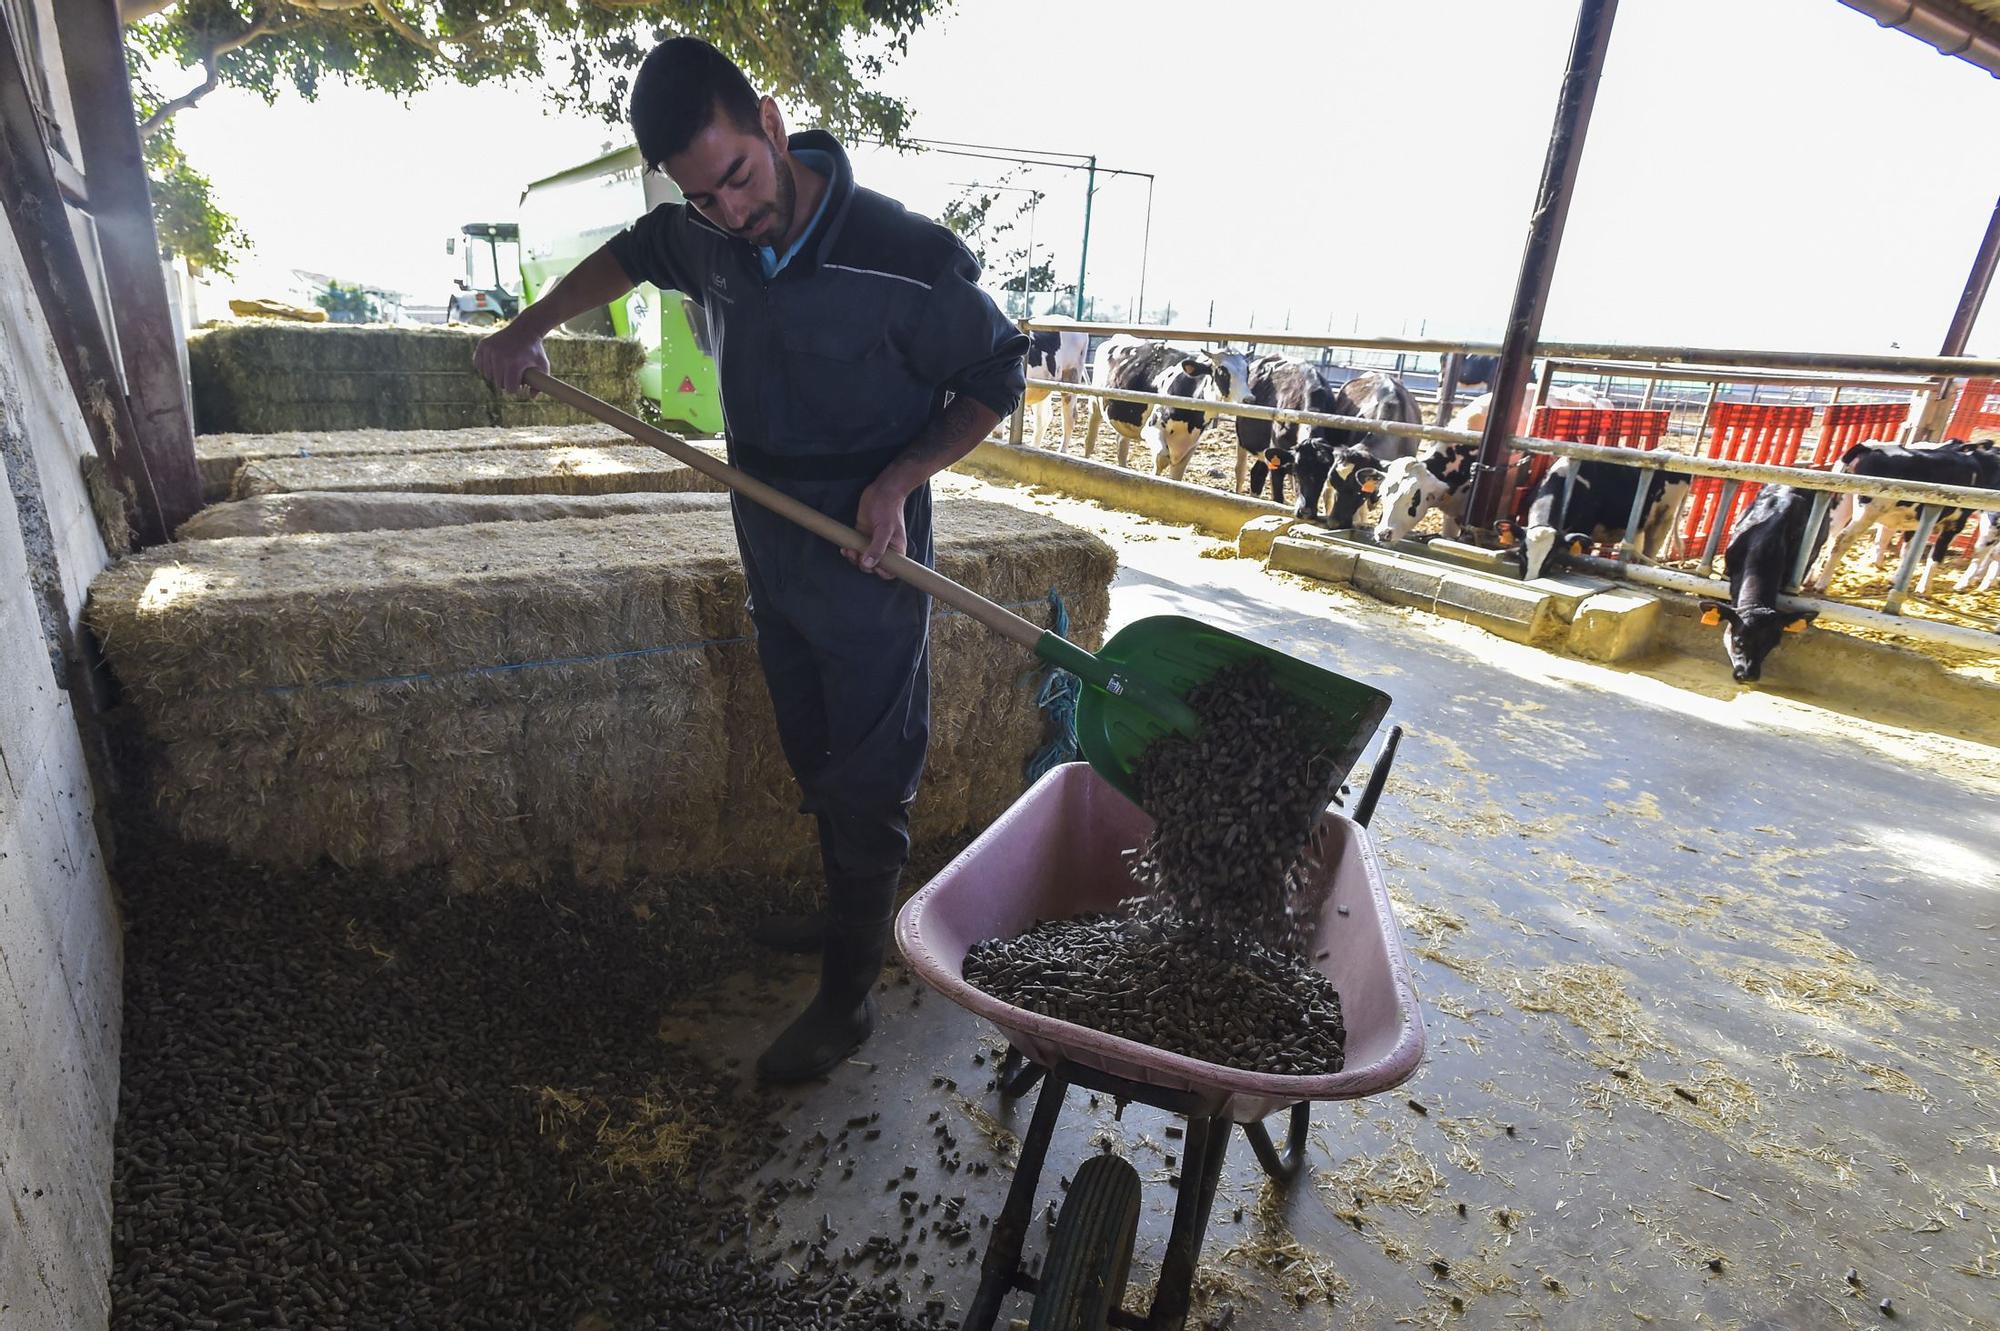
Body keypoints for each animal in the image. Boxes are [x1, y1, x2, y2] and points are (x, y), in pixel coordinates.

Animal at [1520, 459, 1696, 579]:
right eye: (1521, 554)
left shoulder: (1584, 527)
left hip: (1664, 518)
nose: (1530, 579)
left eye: (1550, 558)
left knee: (1651, 551)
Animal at [1808, 439, 1992, 591]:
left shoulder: (1915, 522)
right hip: (1868, 510)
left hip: (1841, 503)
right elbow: (1936, 556)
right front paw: (1924, 589)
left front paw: (1896, 581)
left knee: (1829, 534)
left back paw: (1811, 577)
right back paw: (1822, 583)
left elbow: (1908, 551)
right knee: (1842, 540)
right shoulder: (1954, 524)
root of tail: (1868, 448)